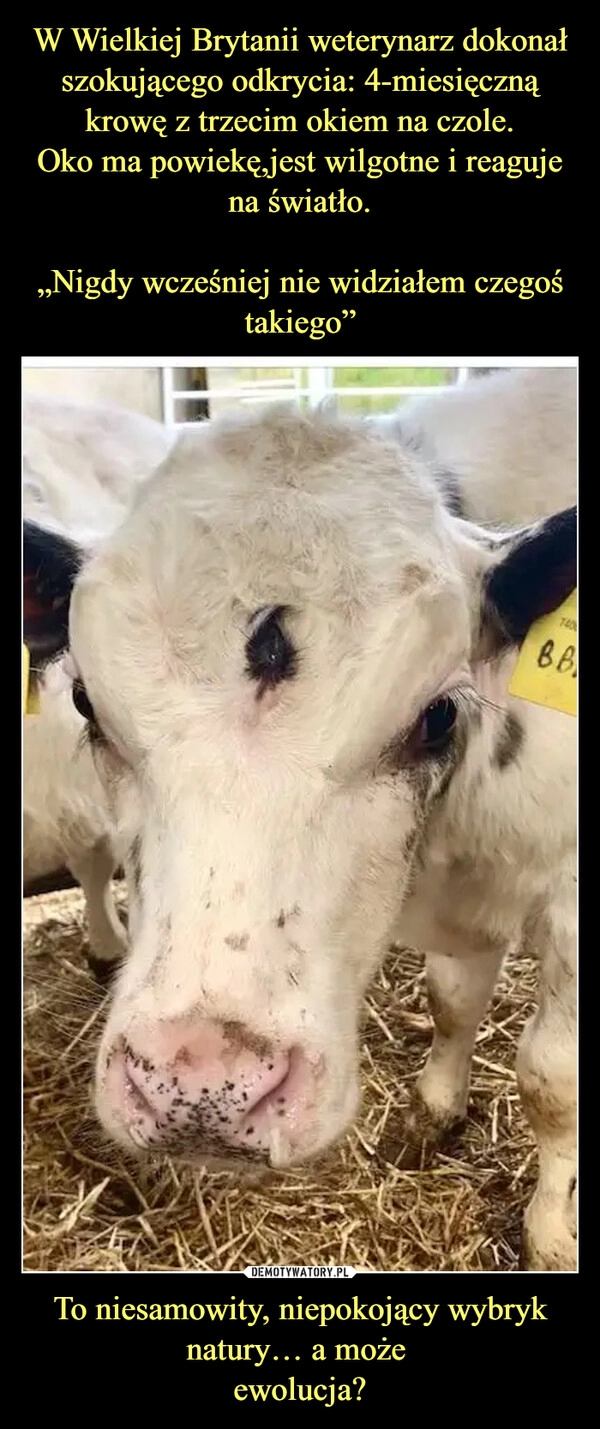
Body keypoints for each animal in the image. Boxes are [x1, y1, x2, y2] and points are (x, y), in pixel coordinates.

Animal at [22, 371, 577, 1274]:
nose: (202, 1089)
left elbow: (551, 1078)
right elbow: (454, 999)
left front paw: (552, 1230)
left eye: (436, 716)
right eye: (84, 702)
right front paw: (434, 1107)